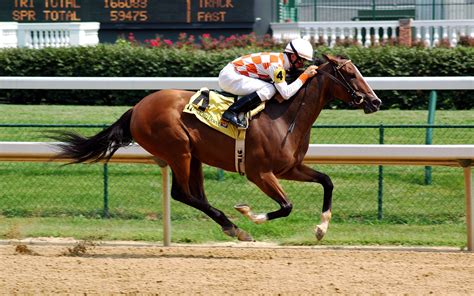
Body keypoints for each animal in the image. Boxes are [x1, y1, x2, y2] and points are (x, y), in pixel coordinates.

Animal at [52, 54, 382, 242]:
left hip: (194, 156)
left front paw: (321, 228)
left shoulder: (289, 168)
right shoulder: (260, 173)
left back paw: (231, 227)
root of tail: (137, 108)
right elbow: (287, 206)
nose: (375, 101)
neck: (286, 115)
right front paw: (249, 213)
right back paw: (237, 228)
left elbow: (327, 181)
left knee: (195, 195)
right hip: (179, 150)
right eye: (350, 74)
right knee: (182, 194)